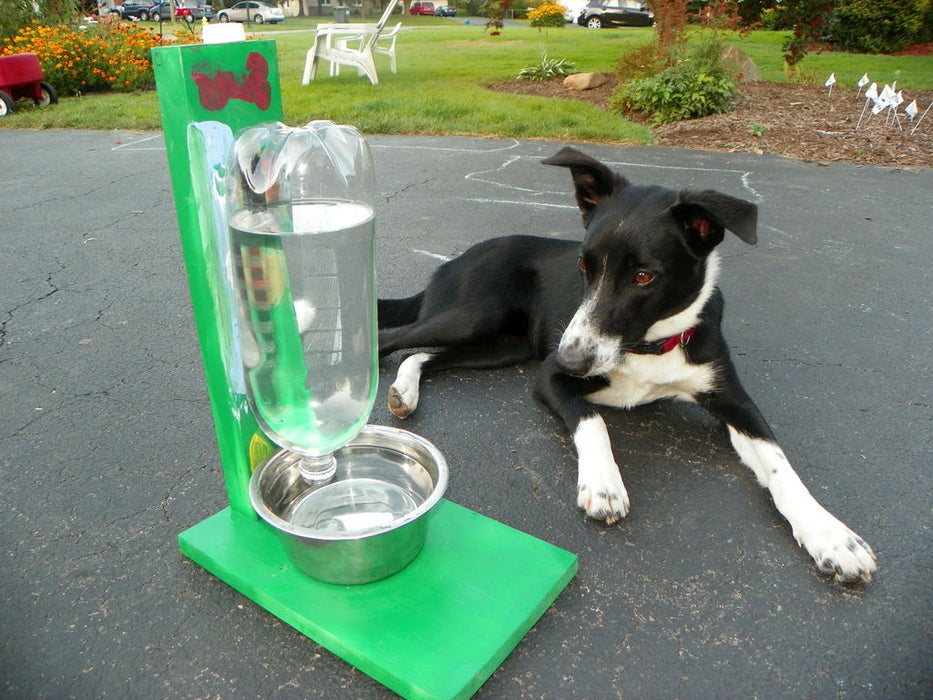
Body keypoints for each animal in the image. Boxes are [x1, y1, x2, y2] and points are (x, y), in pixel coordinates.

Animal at [376, 149, 872, 584]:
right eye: (583, 264)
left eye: (643, 276)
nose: (572, 359)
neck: (650, 346)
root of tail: (454, 260)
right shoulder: (549, 377)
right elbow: (593, 421)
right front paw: (603, 484)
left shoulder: (733, 400)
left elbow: (779, 463)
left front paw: (831, 535)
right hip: (476, 315)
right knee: (391, 340)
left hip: (503, 345)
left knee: (427, 355)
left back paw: (406, 391)